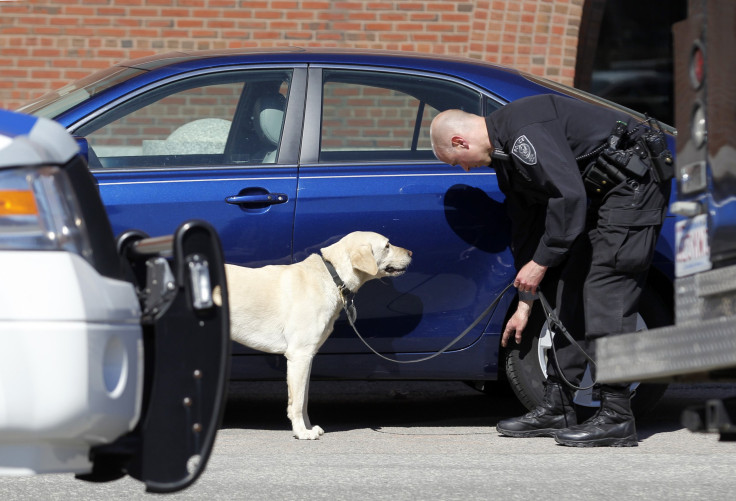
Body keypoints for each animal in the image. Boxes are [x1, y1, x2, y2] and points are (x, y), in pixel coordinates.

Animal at [220, 230, 414, 438]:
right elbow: (297, 402)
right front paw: (301, 432)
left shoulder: (307, 357)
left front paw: (308, 427)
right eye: (387, 246)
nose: (411, 253)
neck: (333, 275)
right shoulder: (299, 356)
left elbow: (304, 400)